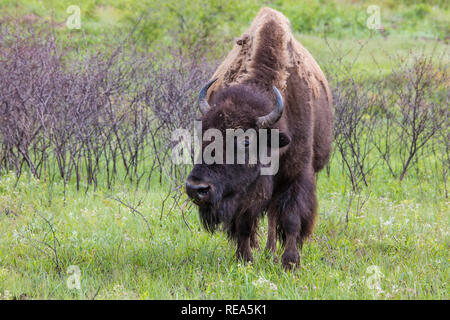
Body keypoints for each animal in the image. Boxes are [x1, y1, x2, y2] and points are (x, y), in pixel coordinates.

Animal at [185, 6, 332, 270]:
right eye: (203, 135)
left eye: (245, 141)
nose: (196, 189)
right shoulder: (244, 191)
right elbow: (244, 222)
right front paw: (244, 260)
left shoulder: (296, 174)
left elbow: (292, 218)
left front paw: (290, 263)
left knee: (275, 216)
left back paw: (272, 252)